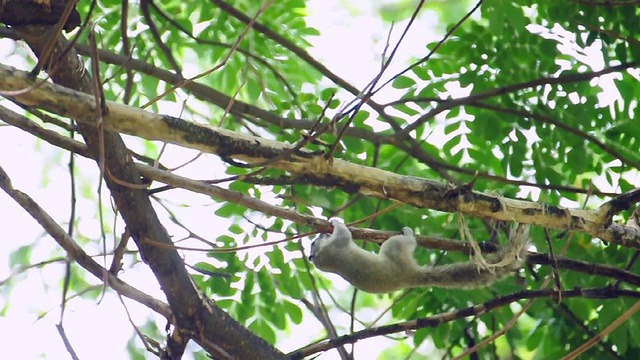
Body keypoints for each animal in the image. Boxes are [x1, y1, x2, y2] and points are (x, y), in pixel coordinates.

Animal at [308, 219, 528, 292]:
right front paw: (337, 221)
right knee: (406, 242)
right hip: (394, 248)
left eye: (311, 243)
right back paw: (408, 232)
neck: (321, 257)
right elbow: (344, 234)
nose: (320, 234)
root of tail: (410, 274)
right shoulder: (337, 245)